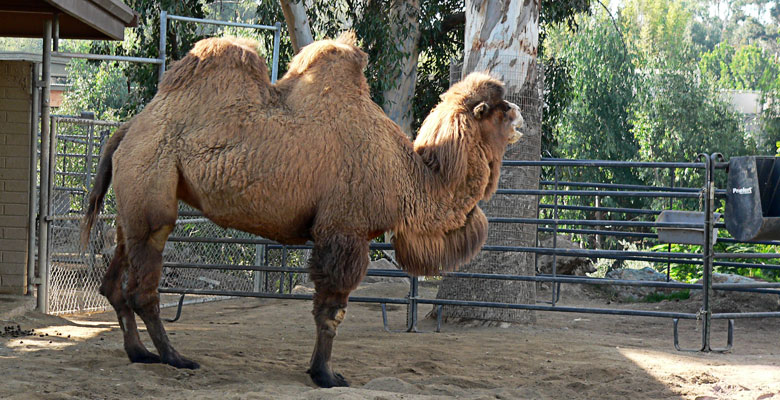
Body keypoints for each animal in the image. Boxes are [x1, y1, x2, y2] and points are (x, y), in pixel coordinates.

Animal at [81, 32, 524, 388]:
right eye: (500, 108)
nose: (520, 116)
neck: (408, 175)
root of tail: (126, 130)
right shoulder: (344, 231)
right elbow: (331, 312)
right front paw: (326, 375)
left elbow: (325, 309)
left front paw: (317, 370)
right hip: (152, 197)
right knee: (142, 287)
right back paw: (175, 358)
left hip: (131, 209)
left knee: (114, 281)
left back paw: (140, 353)